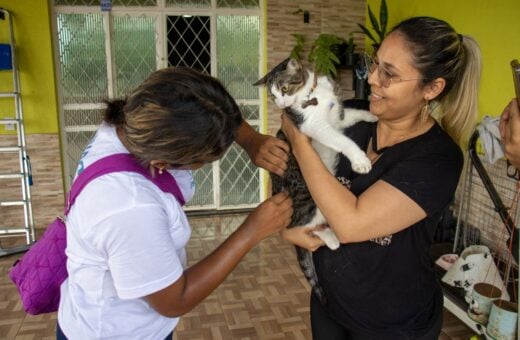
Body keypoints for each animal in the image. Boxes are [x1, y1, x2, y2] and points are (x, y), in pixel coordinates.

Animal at [254, 58, 376, 302]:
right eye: (272, 96)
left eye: (283, 89)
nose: (281, 104)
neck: (313, 94)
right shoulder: (313, 126)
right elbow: (342, 140)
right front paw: (360, 160)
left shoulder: (337, 119)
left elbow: (351, 114)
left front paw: (371, 115)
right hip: (308, 197)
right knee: (302, 226)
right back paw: (332, 237)